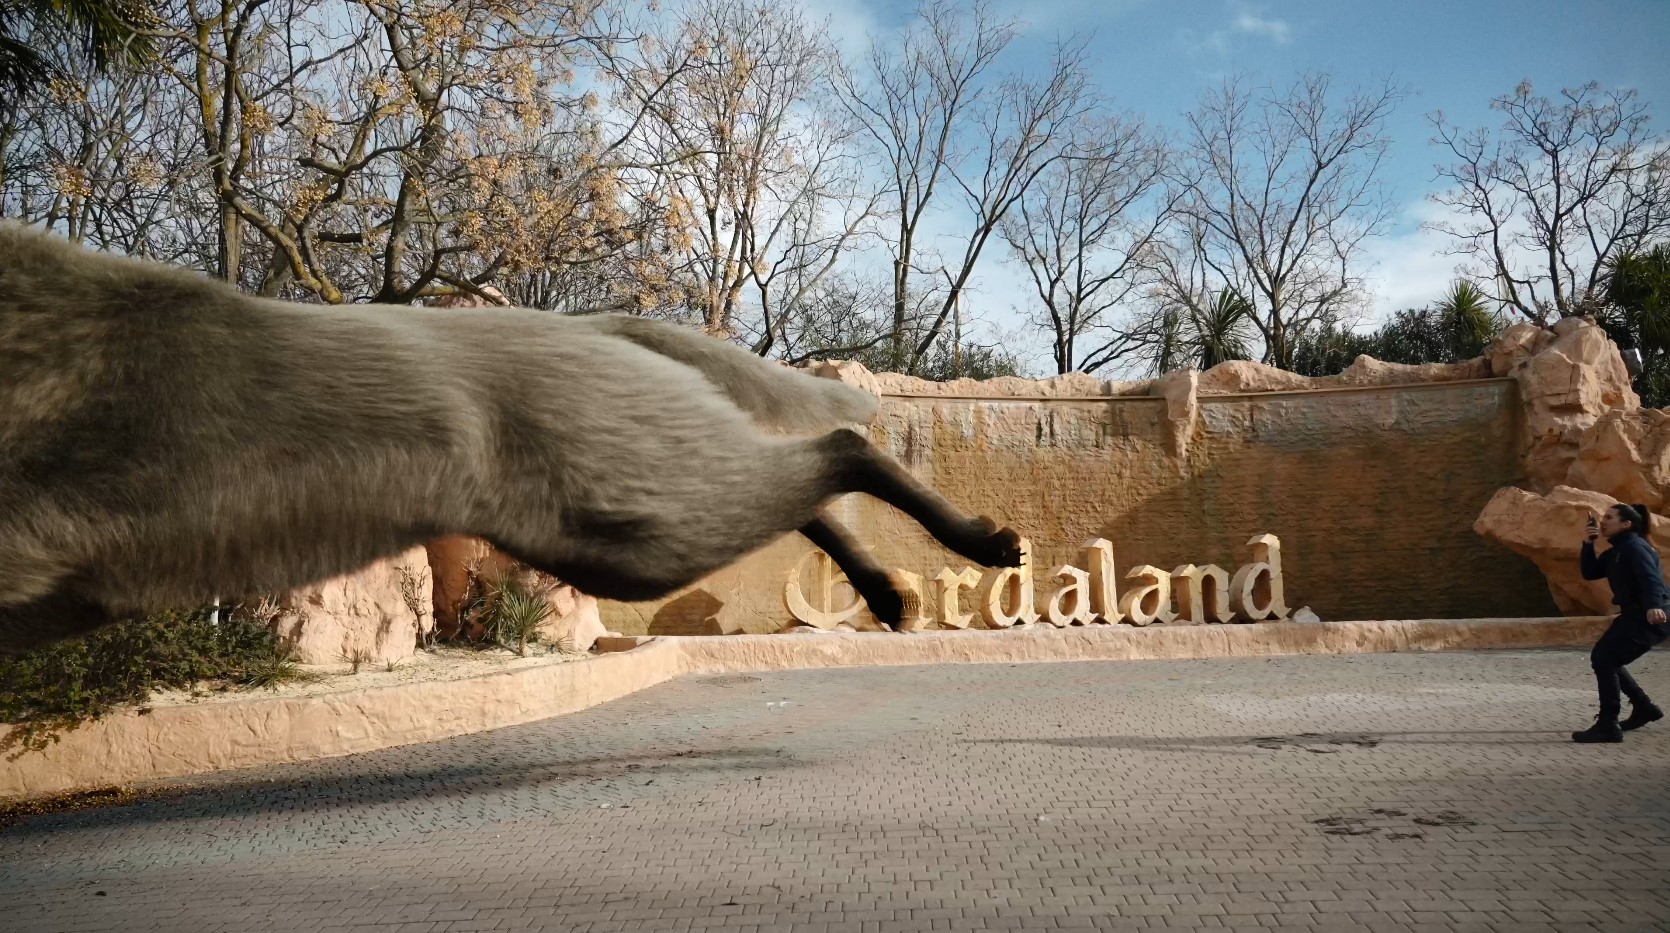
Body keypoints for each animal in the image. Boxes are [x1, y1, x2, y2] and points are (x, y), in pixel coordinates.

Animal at [0, 222, 1022, 656]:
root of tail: (598, 322)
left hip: (631, 527)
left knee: (842, 448)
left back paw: (978, 545)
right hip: (641, 503)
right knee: (813, 490)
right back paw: (889, 591)